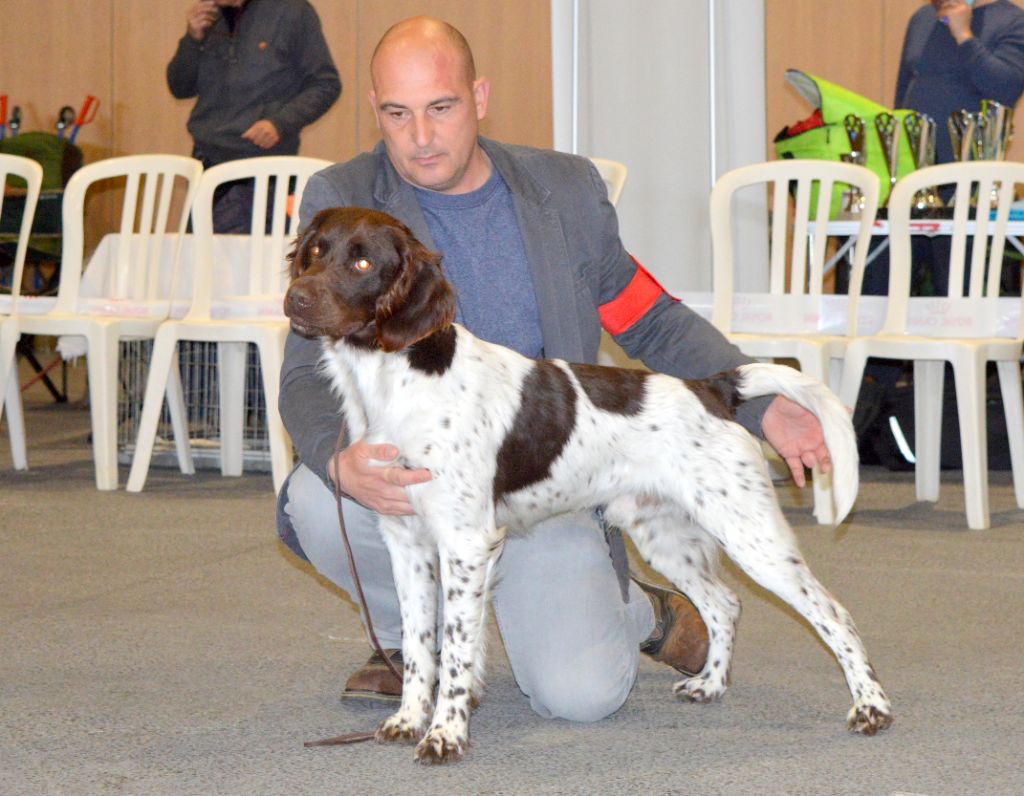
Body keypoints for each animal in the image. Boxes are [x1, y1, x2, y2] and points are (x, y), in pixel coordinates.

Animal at [284, 206, 892, 762]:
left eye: (363, 261)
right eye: (314, 252)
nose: (295, 300)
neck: (395, 380)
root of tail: (711, 388)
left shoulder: (464, 543)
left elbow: (453, 652)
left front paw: (445, 735)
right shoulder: (406, 541)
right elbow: (419, 646)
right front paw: (410, 719)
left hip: (751, 536)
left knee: (833, 614)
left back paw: (871, 708)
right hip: (664, 535)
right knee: (724, 604)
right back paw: (711, 684)